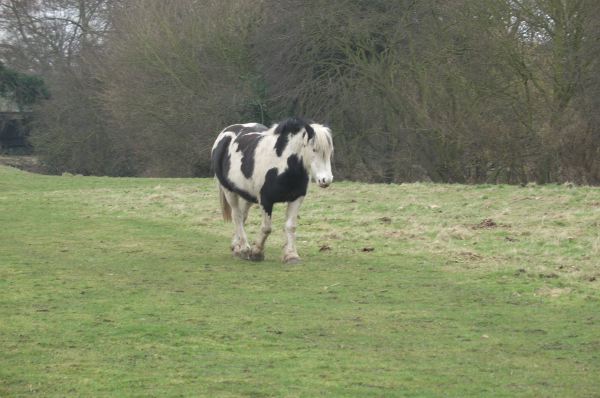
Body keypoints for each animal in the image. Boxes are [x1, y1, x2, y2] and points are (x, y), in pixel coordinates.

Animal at [210, 116, 332, 262]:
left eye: (330, 152)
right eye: (314, 149)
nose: (326, 180)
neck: (282, 164)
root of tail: (225, 132)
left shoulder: (297, 198)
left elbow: (290, 226)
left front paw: (291, 255)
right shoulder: (265, 201)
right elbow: (267, 228)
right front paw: (257, 253)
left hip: (248, 195)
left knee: (243, 216)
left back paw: (237, 247)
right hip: (229, 191)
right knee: (237, 216)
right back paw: (244, 248)